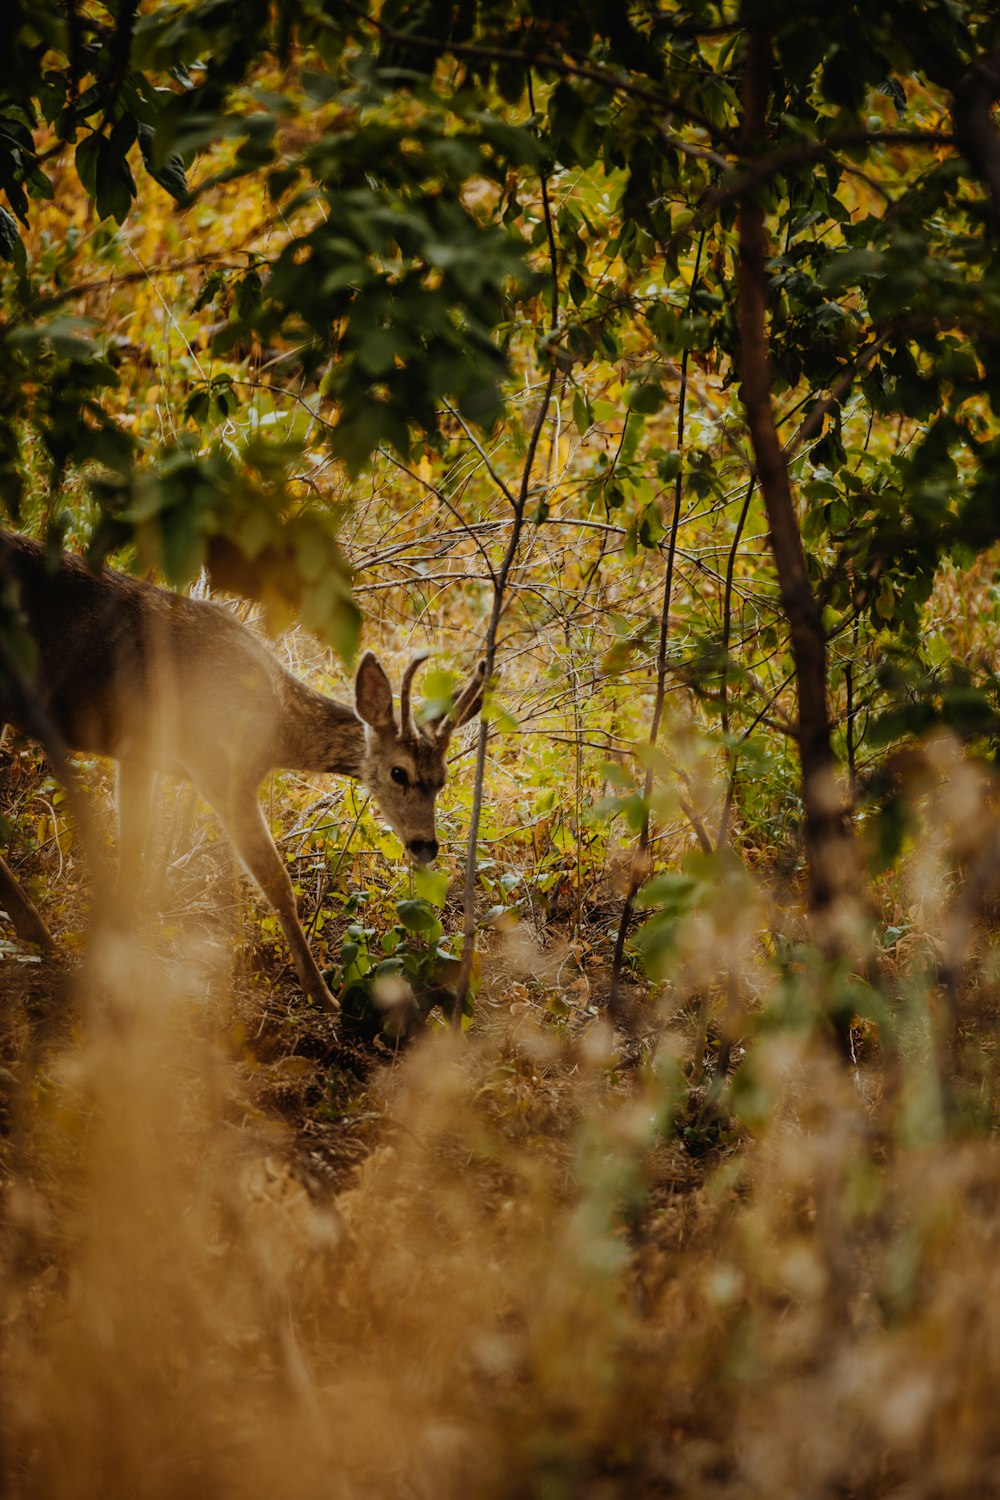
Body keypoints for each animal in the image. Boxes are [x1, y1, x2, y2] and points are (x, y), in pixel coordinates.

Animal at [0, 528, 488, 1008]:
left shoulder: (139, 754)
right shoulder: (218, 769)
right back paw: (41, 936)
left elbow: (136, 846)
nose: (426, 846)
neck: (277, 727)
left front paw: (119, 944)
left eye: (442, 780)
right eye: (399, 772)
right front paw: (321, 994)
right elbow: (275, 881)